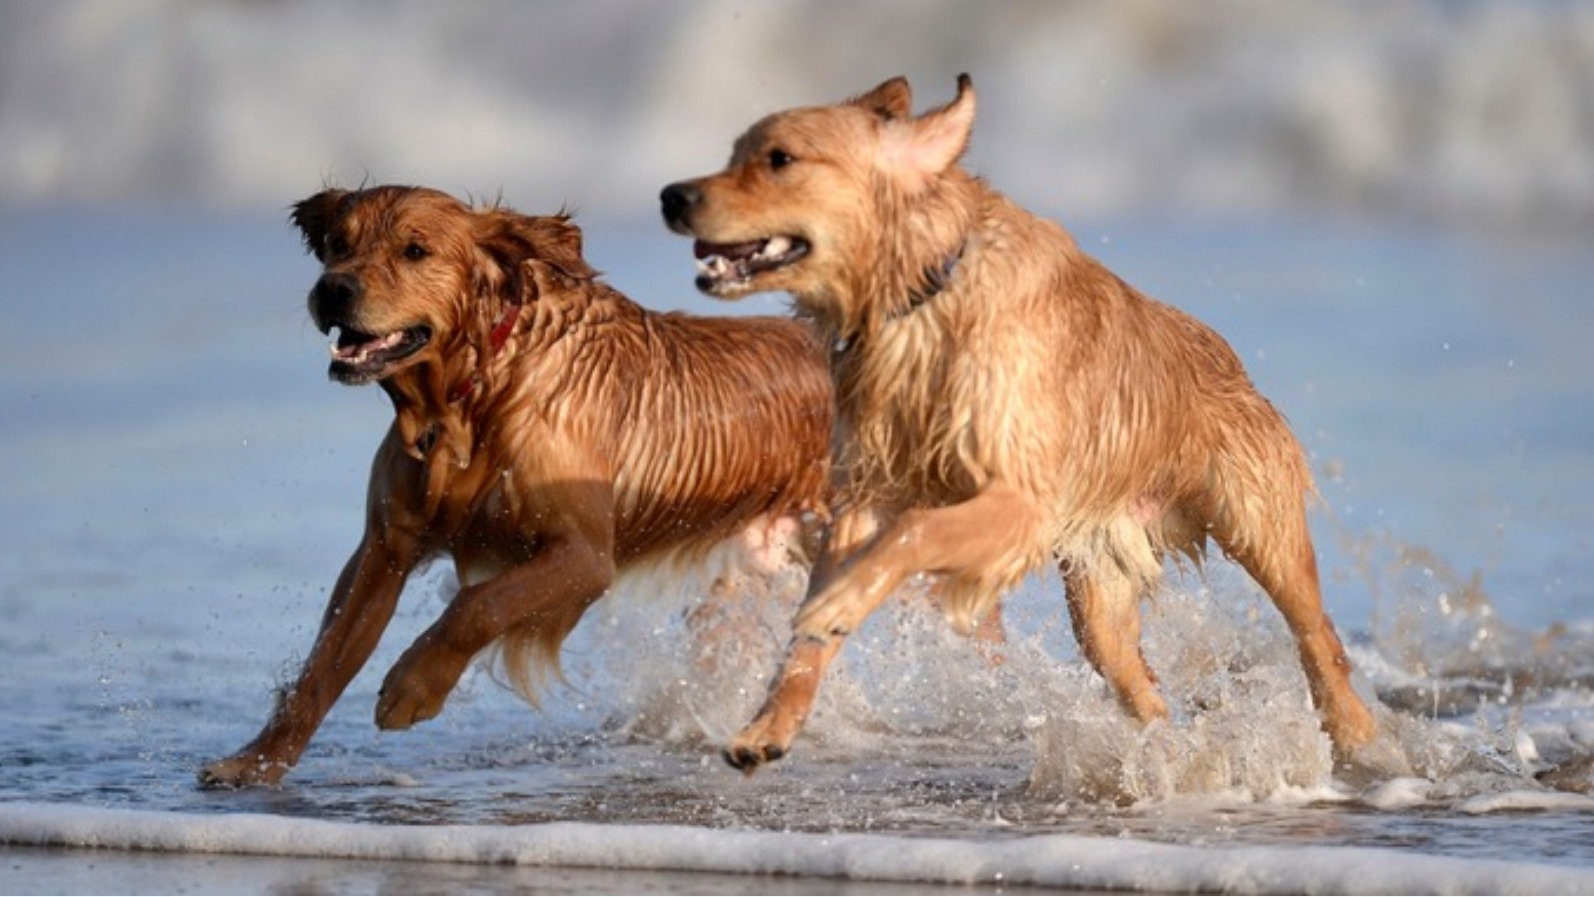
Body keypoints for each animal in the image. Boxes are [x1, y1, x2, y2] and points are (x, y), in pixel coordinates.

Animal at [196, 184, 835, 787]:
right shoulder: (384, 545)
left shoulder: (585, 555)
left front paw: (413, 687)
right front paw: (253, 763)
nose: (333, 289)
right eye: (336, 242)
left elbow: (480, 604)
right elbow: (324, 663)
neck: (477, 393)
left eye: (415, 250)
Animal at [659, 75, 1383, 771]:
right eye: (734, 153)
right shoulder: (863, 493)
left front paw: (833, 606)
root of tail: (1232, 360)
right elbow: (814, 638)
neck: (924, 297)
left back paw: (1359, 737)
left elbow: (914, 532)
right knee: (1142, 689)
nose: (671, 195)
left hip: (1257, 521)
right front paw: (768, 725)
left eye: (779, 159)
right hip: (1098, 598)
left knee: (1317, 635)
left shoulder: (1020, 501)